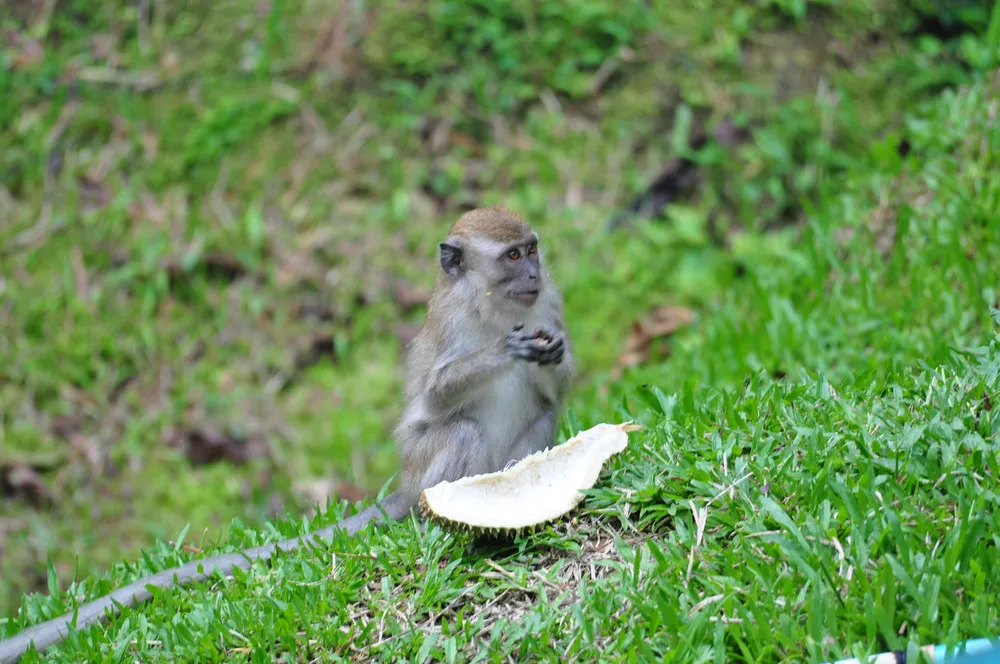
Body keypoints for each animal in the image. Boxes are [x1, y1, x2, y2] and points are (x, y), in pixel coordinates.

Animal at [0, 205, 576, 660]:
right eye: (511, 256)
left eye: (531, 250)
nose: (533, 271)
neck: (495, 303)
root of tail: (407, 489)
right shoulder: (454, 319)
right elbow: (435, 397)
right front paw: (504, 350)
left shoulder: (547, 301)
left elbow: (556, 390)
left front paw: (552, 351)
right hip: (422, 470)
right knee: (461, 432)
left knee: (540, 419)